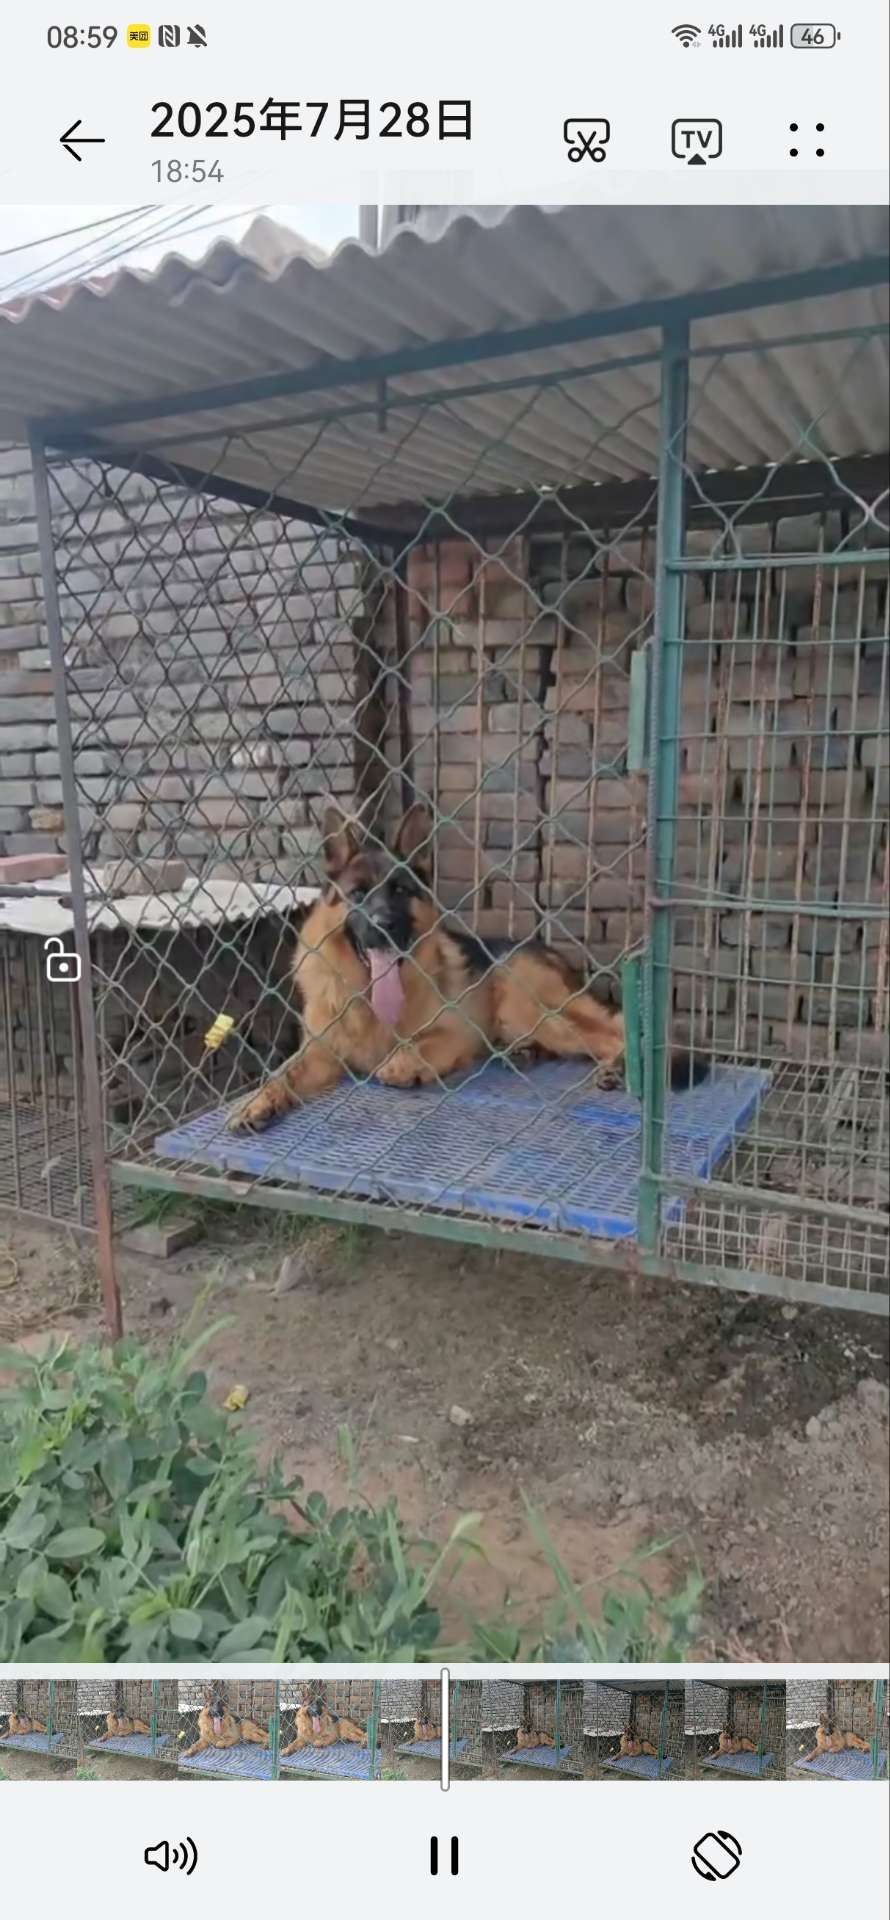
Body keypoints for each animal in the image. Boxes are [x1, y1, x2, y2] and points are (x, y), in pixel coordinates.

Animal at [229, 802, 705, 1132]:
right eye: (358, 894)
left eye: (400, 890)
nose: (383, 927)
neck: (369, 1000)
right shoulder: (320, 1053)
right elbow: (280, 1075)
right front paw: (255, 1103)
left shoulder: (457, 1033)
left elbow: (411, 1049)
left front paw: (402, 1066)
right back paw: (526, 1054)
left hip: (535, 1006)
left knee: (615, 1032)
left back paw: (620, 1069)